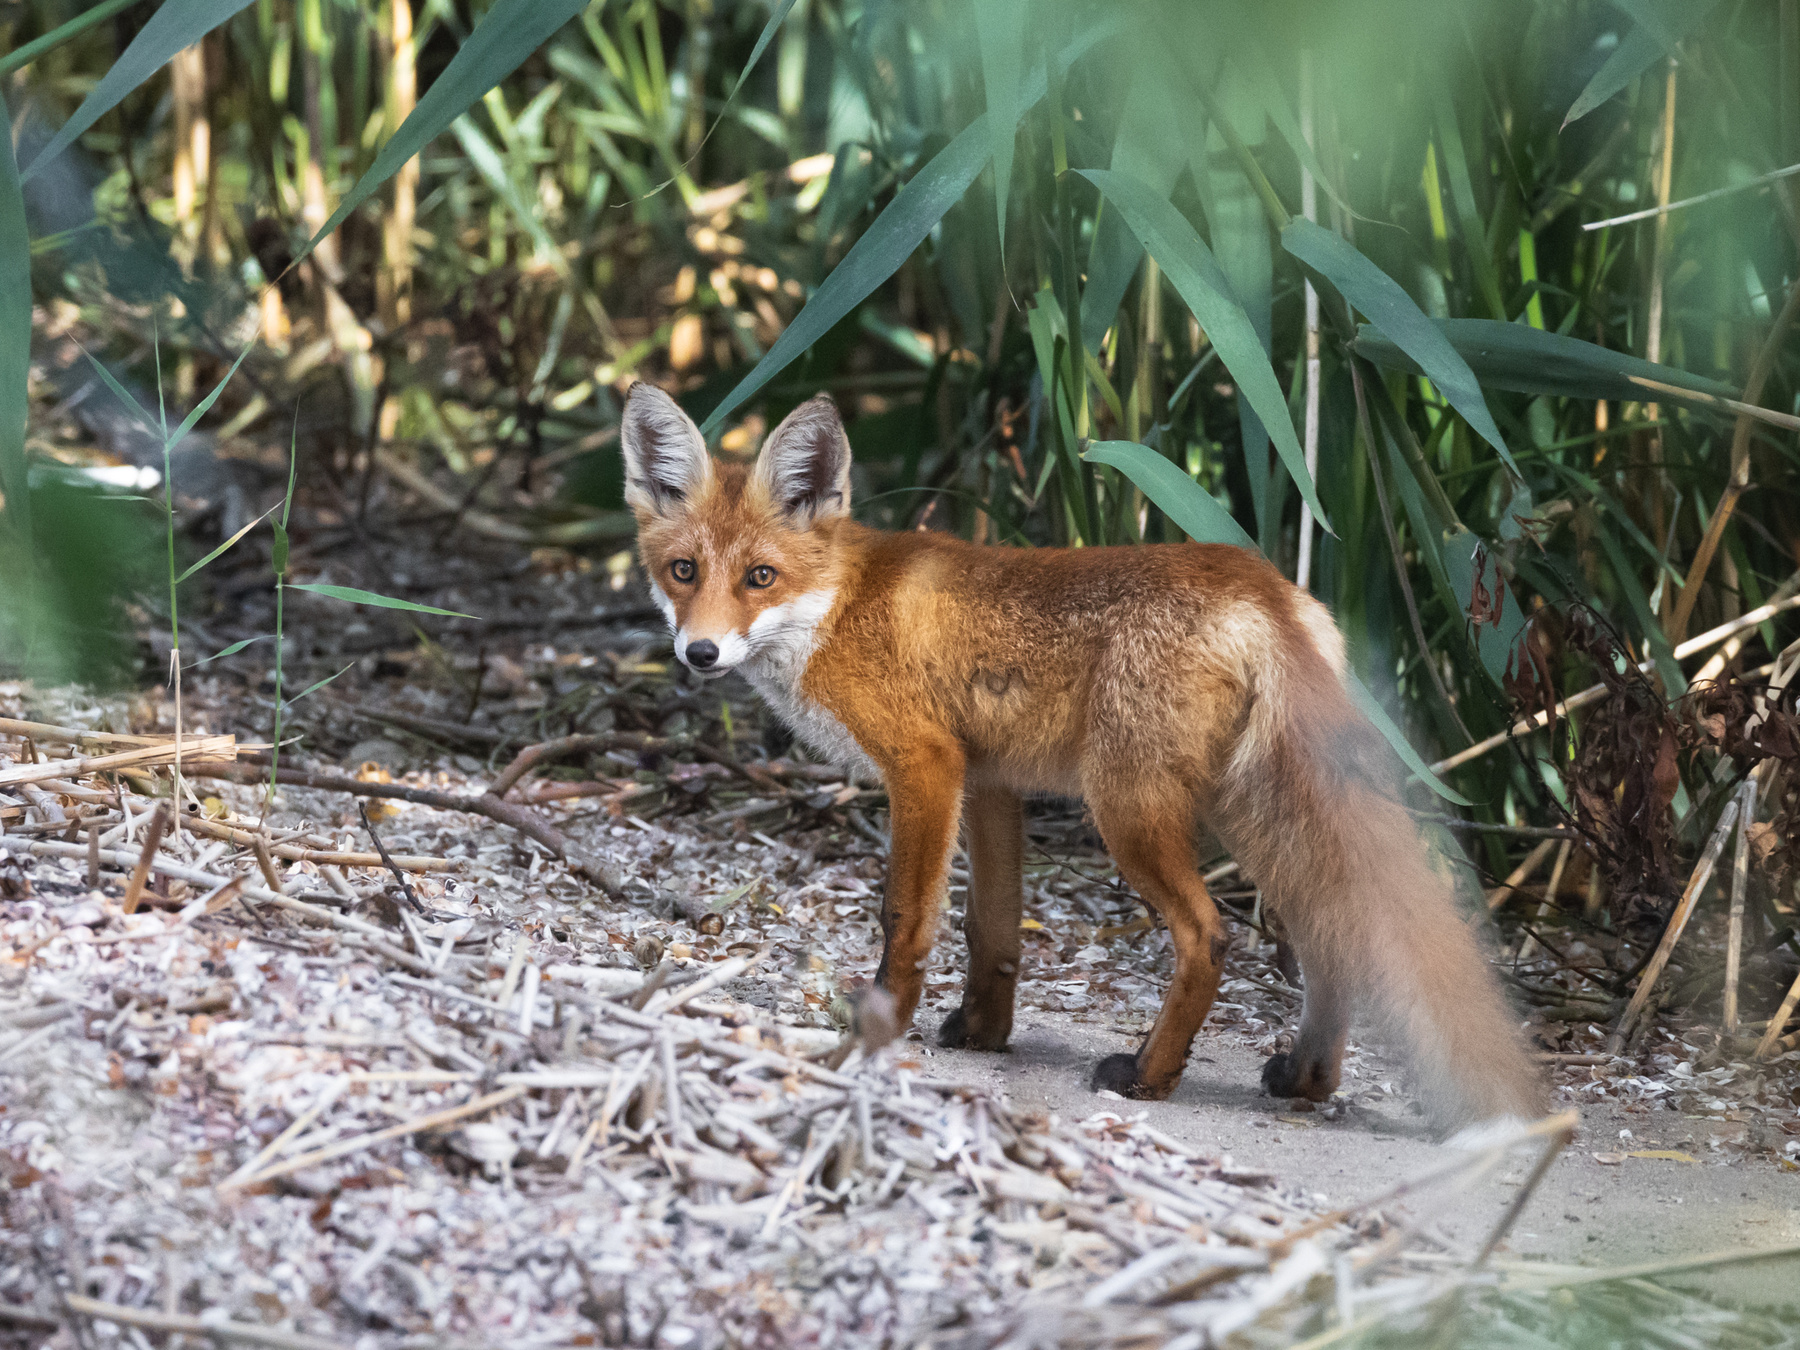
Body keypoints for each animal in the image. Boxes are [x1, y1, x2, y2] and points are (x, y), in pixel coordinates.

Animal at [619, 382, 1546, 1136]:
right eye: (684, 570)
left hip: (1129, 809)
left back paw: (1149, 1076)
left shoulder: (924, 764)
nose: (700, 653)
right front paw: (983, 1035)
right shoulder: (989, 781)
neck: (839, 605)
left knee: (1209, 935)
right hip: (1249, 811)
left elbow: (907, 918)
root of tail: (1258, 584)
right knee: (1330, 937)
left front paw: (881, 1024)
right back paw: (1307, 1079)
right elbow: (991, 928)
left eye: (760, 577)